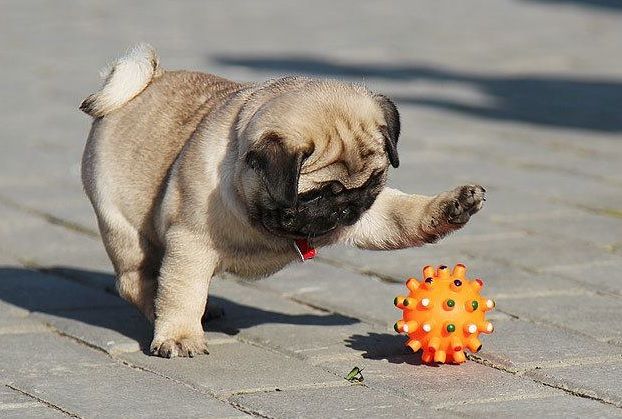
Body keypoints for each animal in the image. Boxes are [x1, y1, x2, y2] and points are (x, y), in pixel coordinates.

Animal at [79, 44, 488, 360]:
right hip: (123, 227)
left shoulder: (375, 216)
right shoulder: (190, 243)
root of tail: (147, 81)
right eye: (321, 193)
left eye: (374, 181)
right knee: (138, 281)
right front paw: (179, 336)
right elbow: (182, 292)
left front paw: (455, 205)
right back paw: (163, 313)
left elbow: (404, 215)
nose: (350, 207)